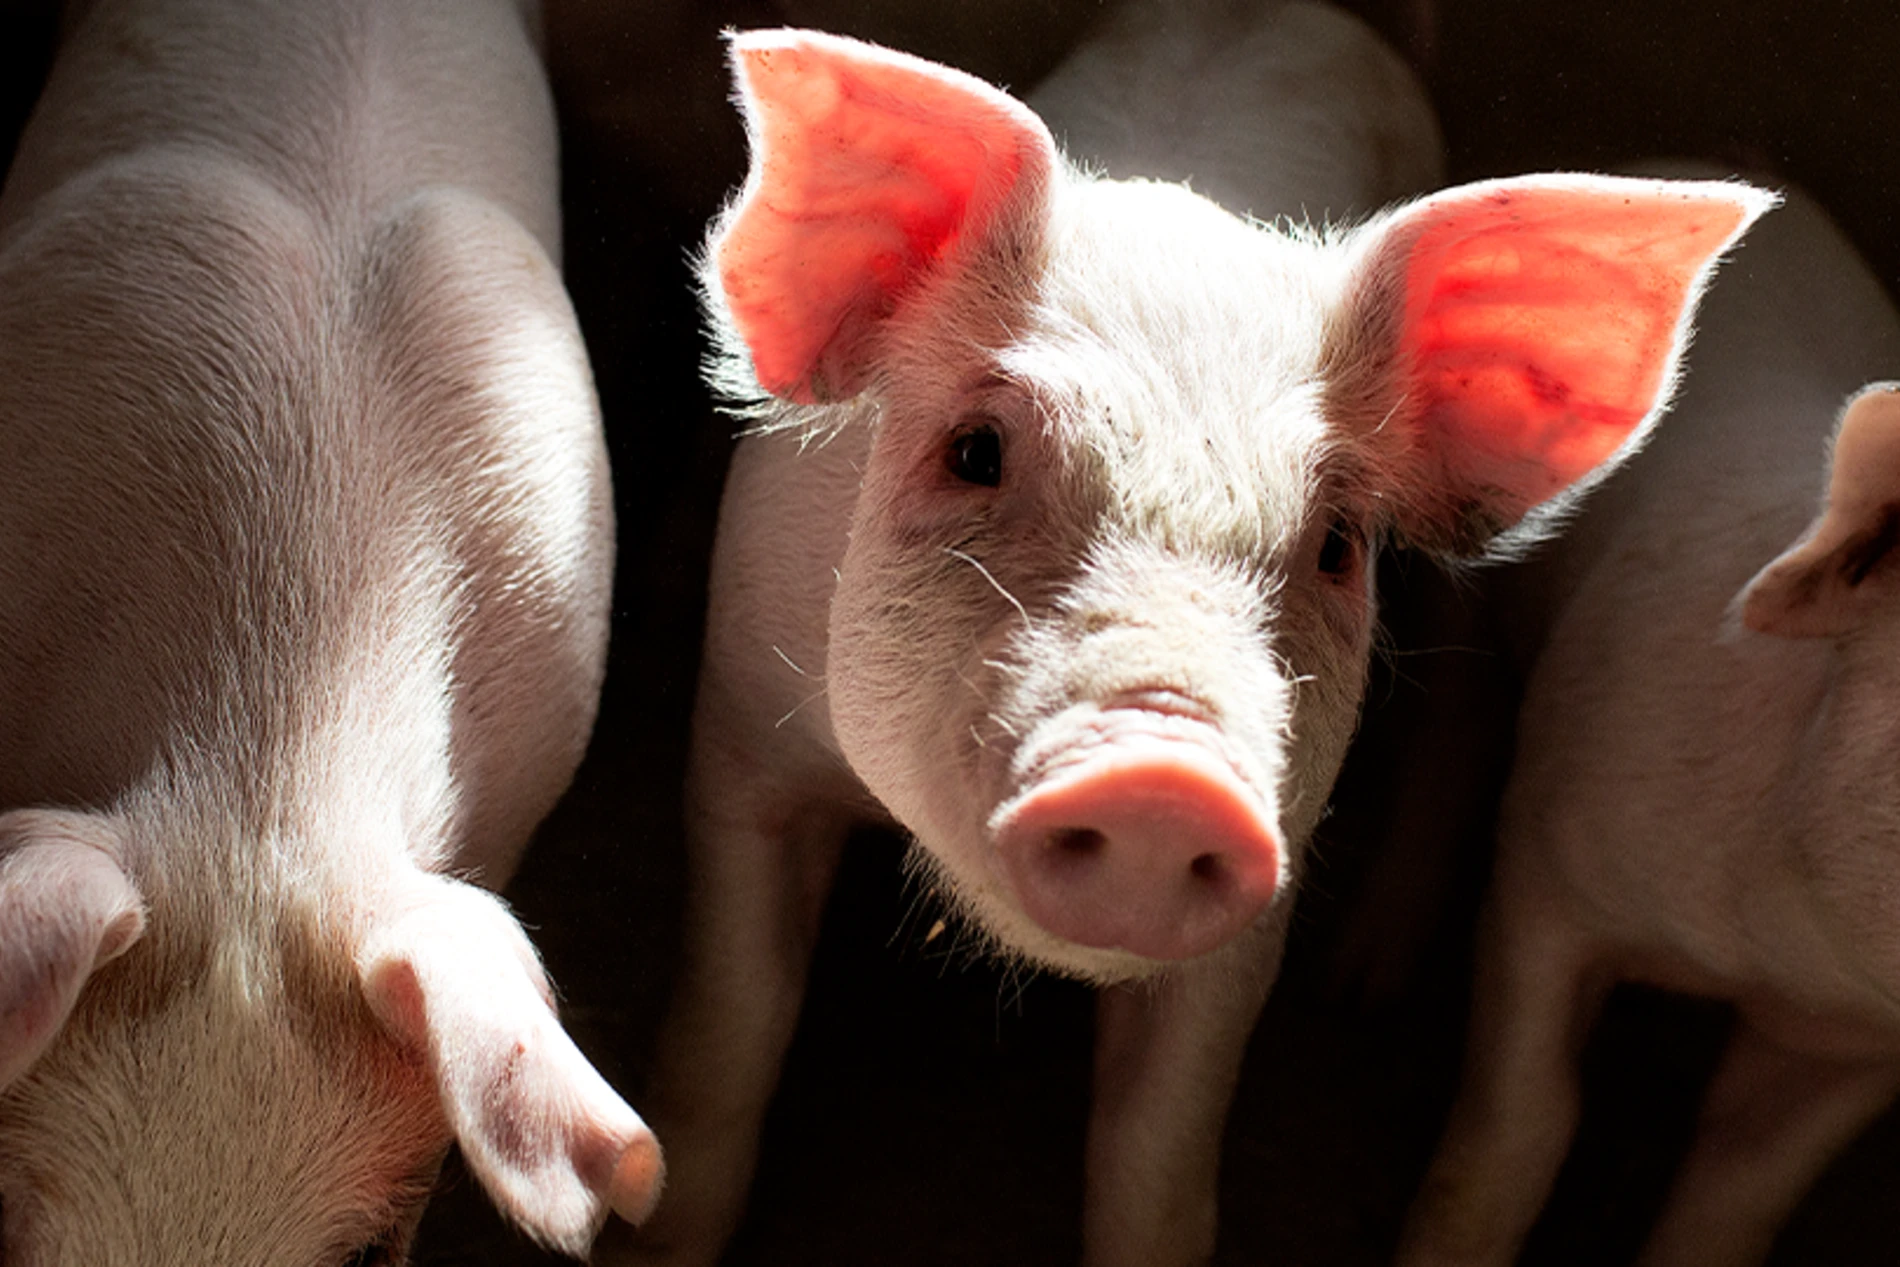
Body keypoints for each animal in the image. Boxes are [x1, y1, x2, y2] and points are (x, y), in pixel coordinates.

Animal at [631, 17, 1772, 1267]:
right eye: (975, 452)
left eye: (1337, 544)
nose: (1163, 777)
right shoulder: (741, 741)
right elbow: (735, 1025)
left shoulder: (1272, 871)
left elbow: (1155, 1162)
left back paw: (1367, 983)